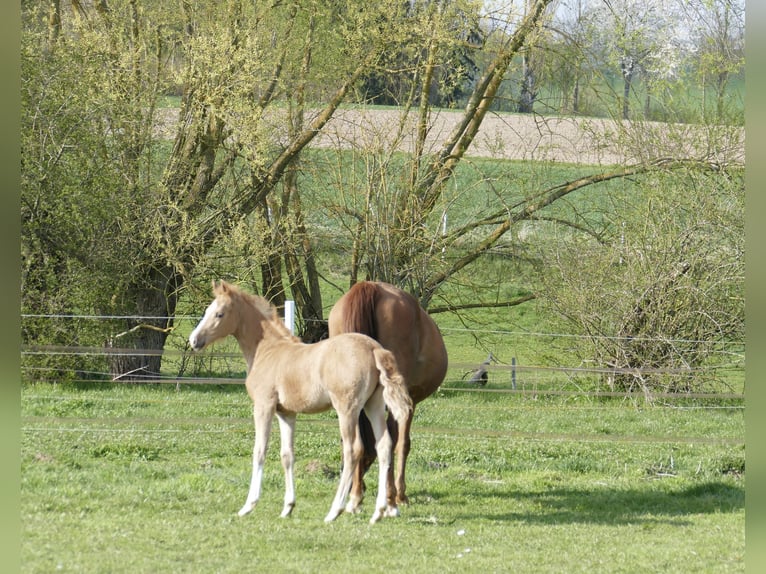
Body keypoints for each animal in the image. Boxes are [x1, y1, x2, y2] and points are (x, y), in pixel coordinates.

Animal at [188, 280, 412, 524]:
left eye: (219, 314)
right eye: (207, 310)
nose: (194, 340)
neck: (267, 351)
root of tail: (374, 349)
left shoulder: (264, 406)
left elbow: (259, 451)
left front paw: (248, 505)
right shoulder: (286, 413)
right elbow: (287, 455)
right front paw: (288, 507)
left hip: (347, 408)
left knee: (353, 449)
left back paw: (335, 510)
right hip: (374, 405)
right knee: (384, 446)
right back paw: (379, 511)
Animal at [327, 281, 448, 510]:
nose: (348, 484)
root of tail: (370, 286)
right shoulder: (410, 402)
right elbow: (402, 443)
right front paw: (400, 494)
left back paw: (358, 493)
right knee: (391, 438)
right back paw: (392, 495)